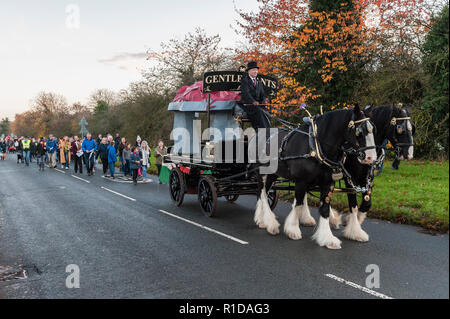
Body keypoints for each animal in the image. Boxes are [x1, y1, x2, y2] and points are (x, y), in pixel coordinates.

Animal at [253, 105, 376, 250]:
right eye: (359, 131)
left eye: (373, 129)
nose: (371, 158)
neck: (316, 147)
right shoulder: (301, 181)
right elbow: (298, 203)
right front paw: (293, 229)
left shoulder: (328, 183)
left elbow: (325, 209)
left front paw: (328, 238)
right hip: (262, 172)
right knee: (262, 193)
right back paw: (268, 222)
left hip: (274, 174)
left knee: (263, 192)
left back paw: (262, 219)